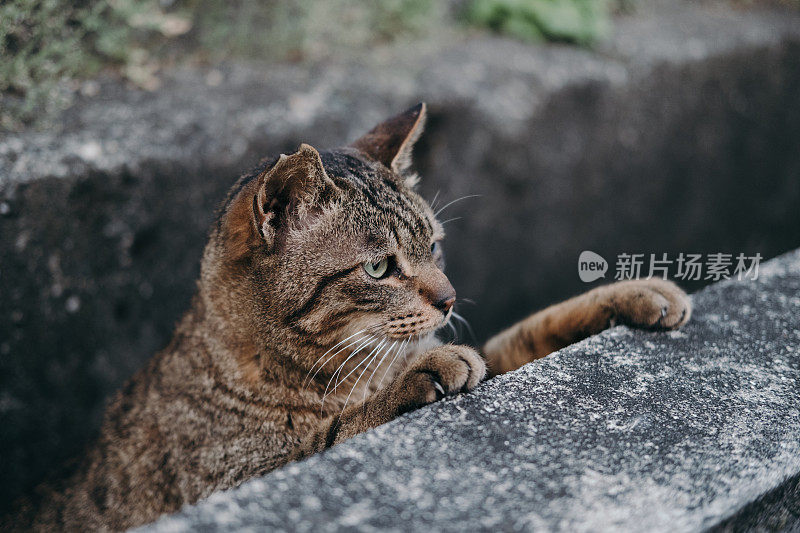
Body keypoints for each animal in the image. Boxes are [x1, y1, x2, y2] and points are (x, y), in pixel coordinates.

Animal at [6, 102, 692, 528]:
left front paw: (633, 293)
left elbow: (529, 331)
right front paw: (424, 372)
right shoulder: (232, 480)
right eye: (380, 268)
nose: (449, 299)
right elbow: (337, 431)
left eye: (434, 246)